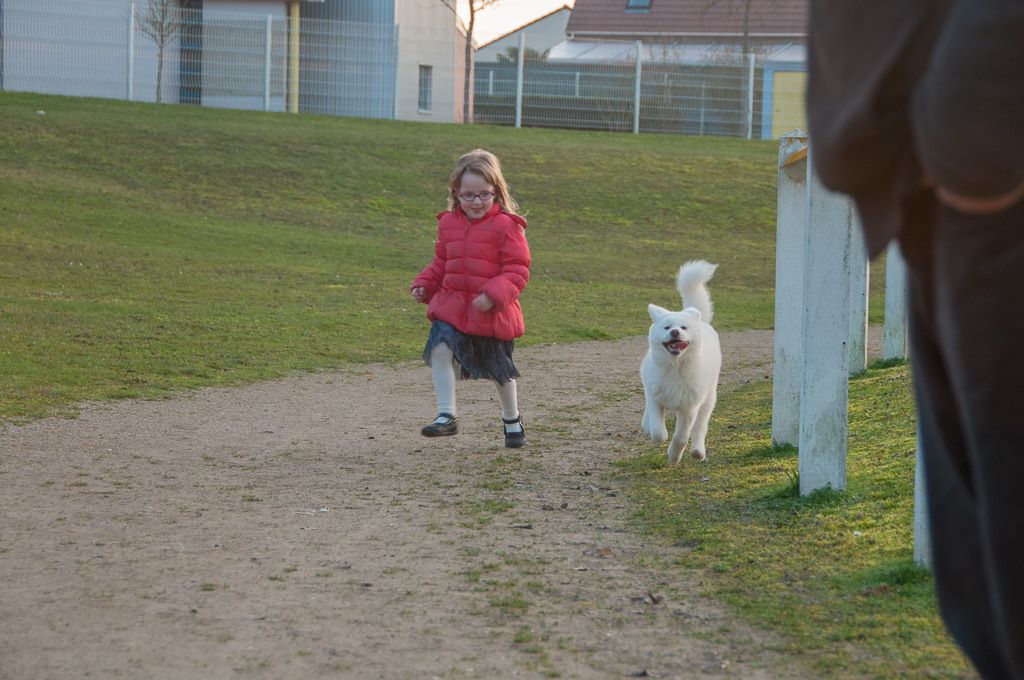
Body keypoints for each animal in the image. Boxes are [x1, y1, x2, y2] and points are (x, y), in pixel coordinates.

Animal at [638, 258, 720, 464]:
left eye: (683, 327)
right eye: (667, 327)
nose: (675, 332)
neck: (675, 368)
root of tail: (702, 321)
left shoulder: (689, 407)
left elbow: (682, 436)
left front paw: (674, 457)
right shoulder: (655, 396)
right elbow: (658, 431)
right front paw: (657, 433)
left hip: (708, 400)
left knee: (700, 428)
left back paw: (698, 451)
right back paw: (646, 424)